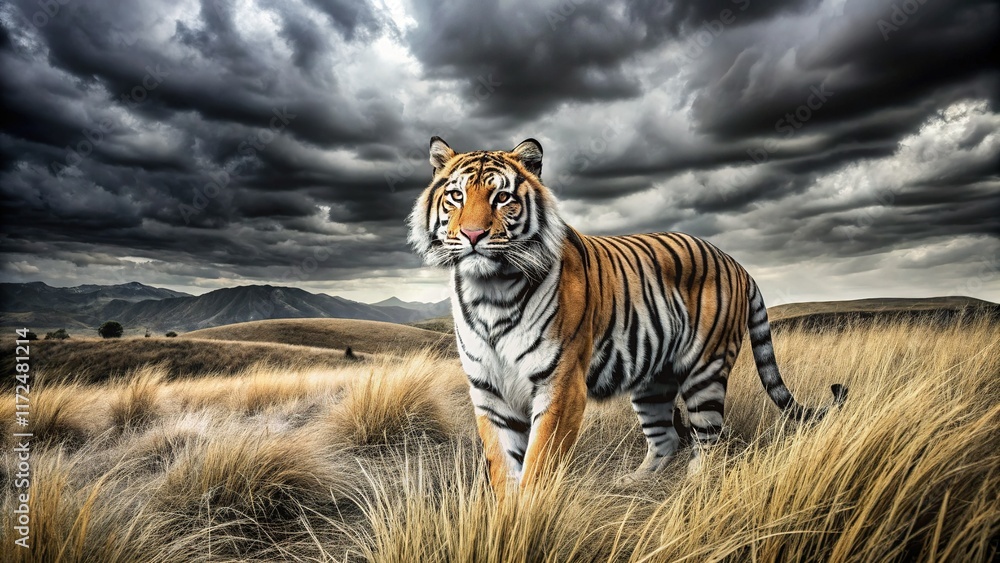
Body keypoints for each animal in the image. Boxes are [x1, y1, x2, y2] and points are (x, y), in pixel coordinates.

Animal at [407, 136, 847, 497]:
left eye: (501, 198)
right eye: (456, 196)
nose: (473, 235)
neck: (490, 291)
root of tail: (737, 263)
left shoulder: (560, 385)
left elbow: (537, 465)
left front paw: (527, 519)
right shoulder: (489, 392)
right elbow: (503, 469)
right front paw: (506, 519)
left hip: (706, 372)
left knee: (709, 444)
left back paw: (694, 487)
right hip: (653, 382)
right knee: (667, 439)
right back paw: (632, 482)